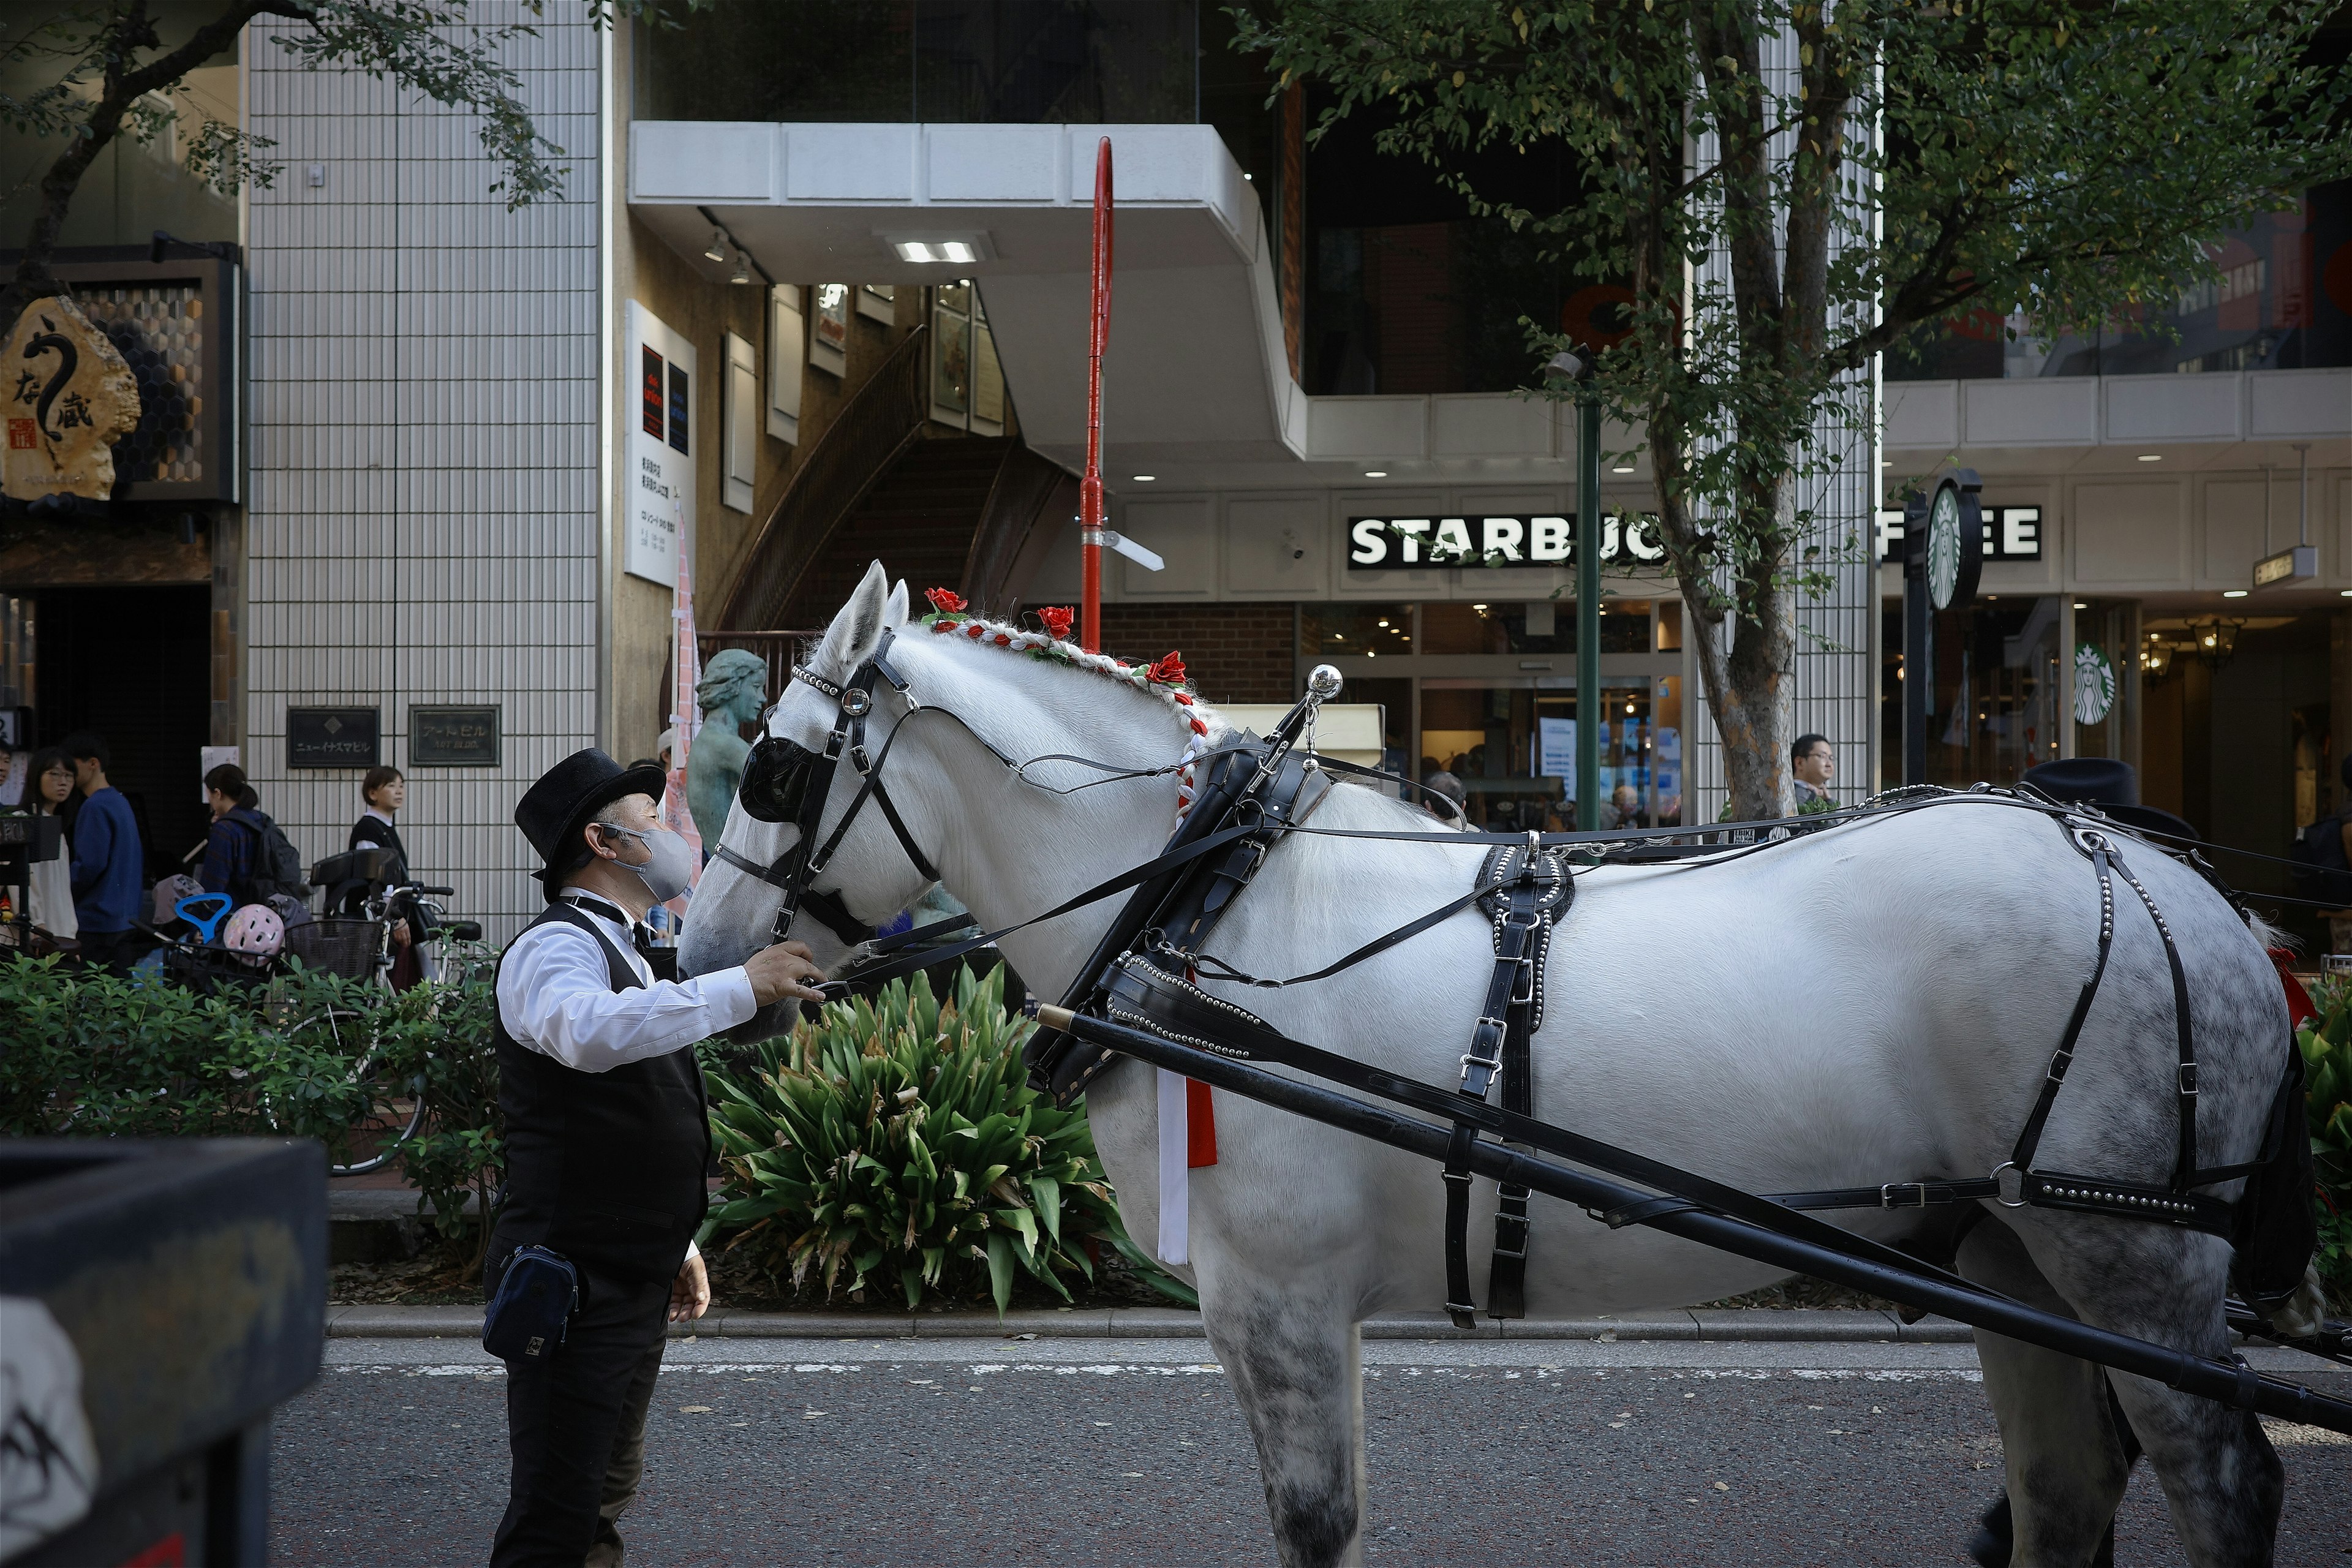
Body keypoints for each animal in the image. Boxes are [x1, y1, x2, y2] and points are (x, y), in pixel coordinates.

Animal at [682, 564, 2295, 1568]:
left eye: (772, 765)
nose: (697, 951)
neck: (1210, 903)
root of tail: (2183, 891)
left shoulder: (1281, 1301)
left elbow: (1314, 1522)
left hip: (2127, 1252)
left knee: (2224, 1478)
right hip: (2014, 1253)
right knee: (2065, 1491)